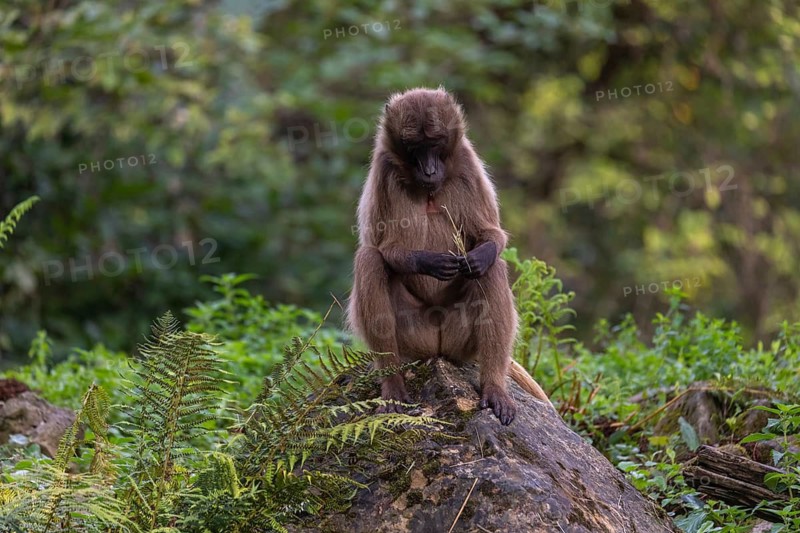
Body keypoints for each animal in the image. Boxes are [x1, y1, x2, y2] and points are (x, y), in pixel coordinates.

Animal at [347, 87, 550, 426]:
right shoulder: (384, 168)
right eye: (415, 147)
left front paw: (478, 255)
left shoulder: (467, 162)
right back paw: (393, 385)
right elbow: (384, 247)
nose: (429, 170)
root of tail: (438, 349)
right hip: (414, 337)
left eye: (436, 143)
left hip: (459, 340)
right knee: (370, 259)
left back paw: (493, 387)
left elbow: (491, 237)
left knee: (491, 268)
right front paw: (429, 262)